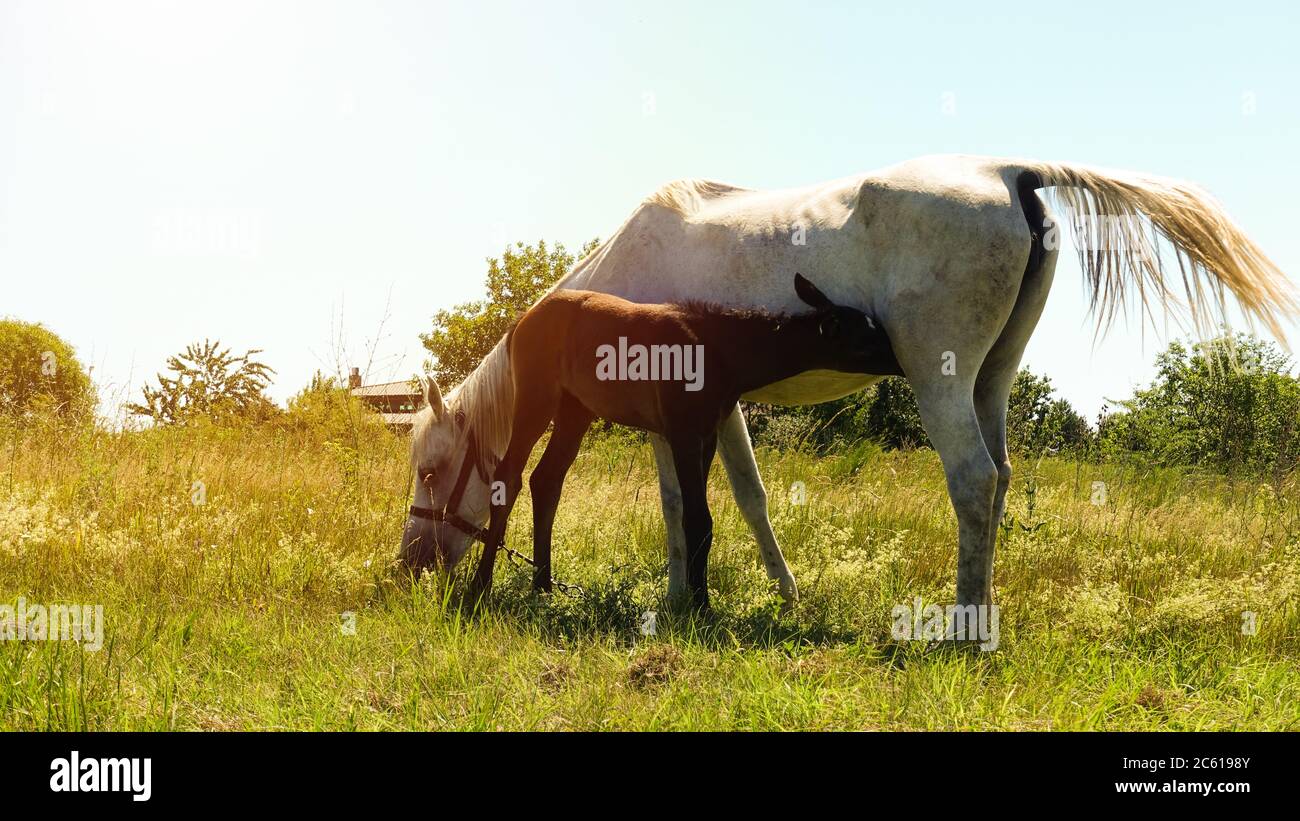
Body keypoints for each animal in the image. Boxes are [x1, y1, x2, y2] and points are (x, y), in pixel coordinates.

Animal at [451, 274, 900, 607]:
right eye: (867, 339)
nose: (901, 359)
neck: (720, 350)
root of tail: (519, 324)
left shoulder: (706, 434)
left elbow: (698, 516)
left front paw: (694, 596)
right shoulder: (683, 432)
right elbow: (697, 517)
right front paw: (700, 605)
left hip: (576, 411)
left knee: (546, 480)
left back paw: (543, 584)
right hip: (536, 399)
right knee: (508, 478)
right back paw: (481, 585)